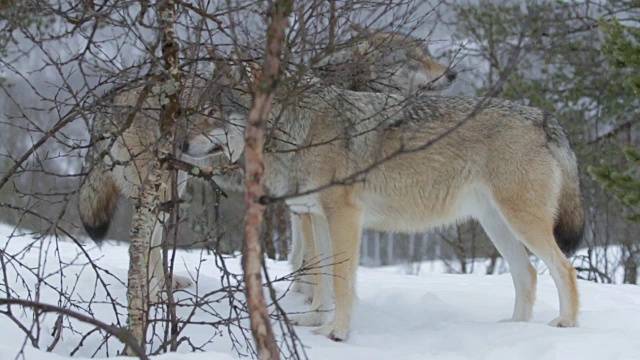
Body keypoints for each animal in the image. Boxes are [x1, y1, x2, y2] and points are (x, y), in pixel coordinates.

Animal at [186, 55, 584, 340]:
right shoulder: (316, 218)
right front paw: (314, 319)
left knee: (564, 267)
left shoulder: (344, 216)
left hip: (521, 223)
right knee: (527, 273)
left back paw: (565, 323)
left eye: (211, 113)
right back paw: (515, 328)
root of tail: (544, 117)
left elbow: (341, 281)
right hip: (497, 225)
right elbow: (321, 276)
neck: (298, 129)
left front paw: (337, 332)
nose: (181, 144)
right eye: (196, 110)